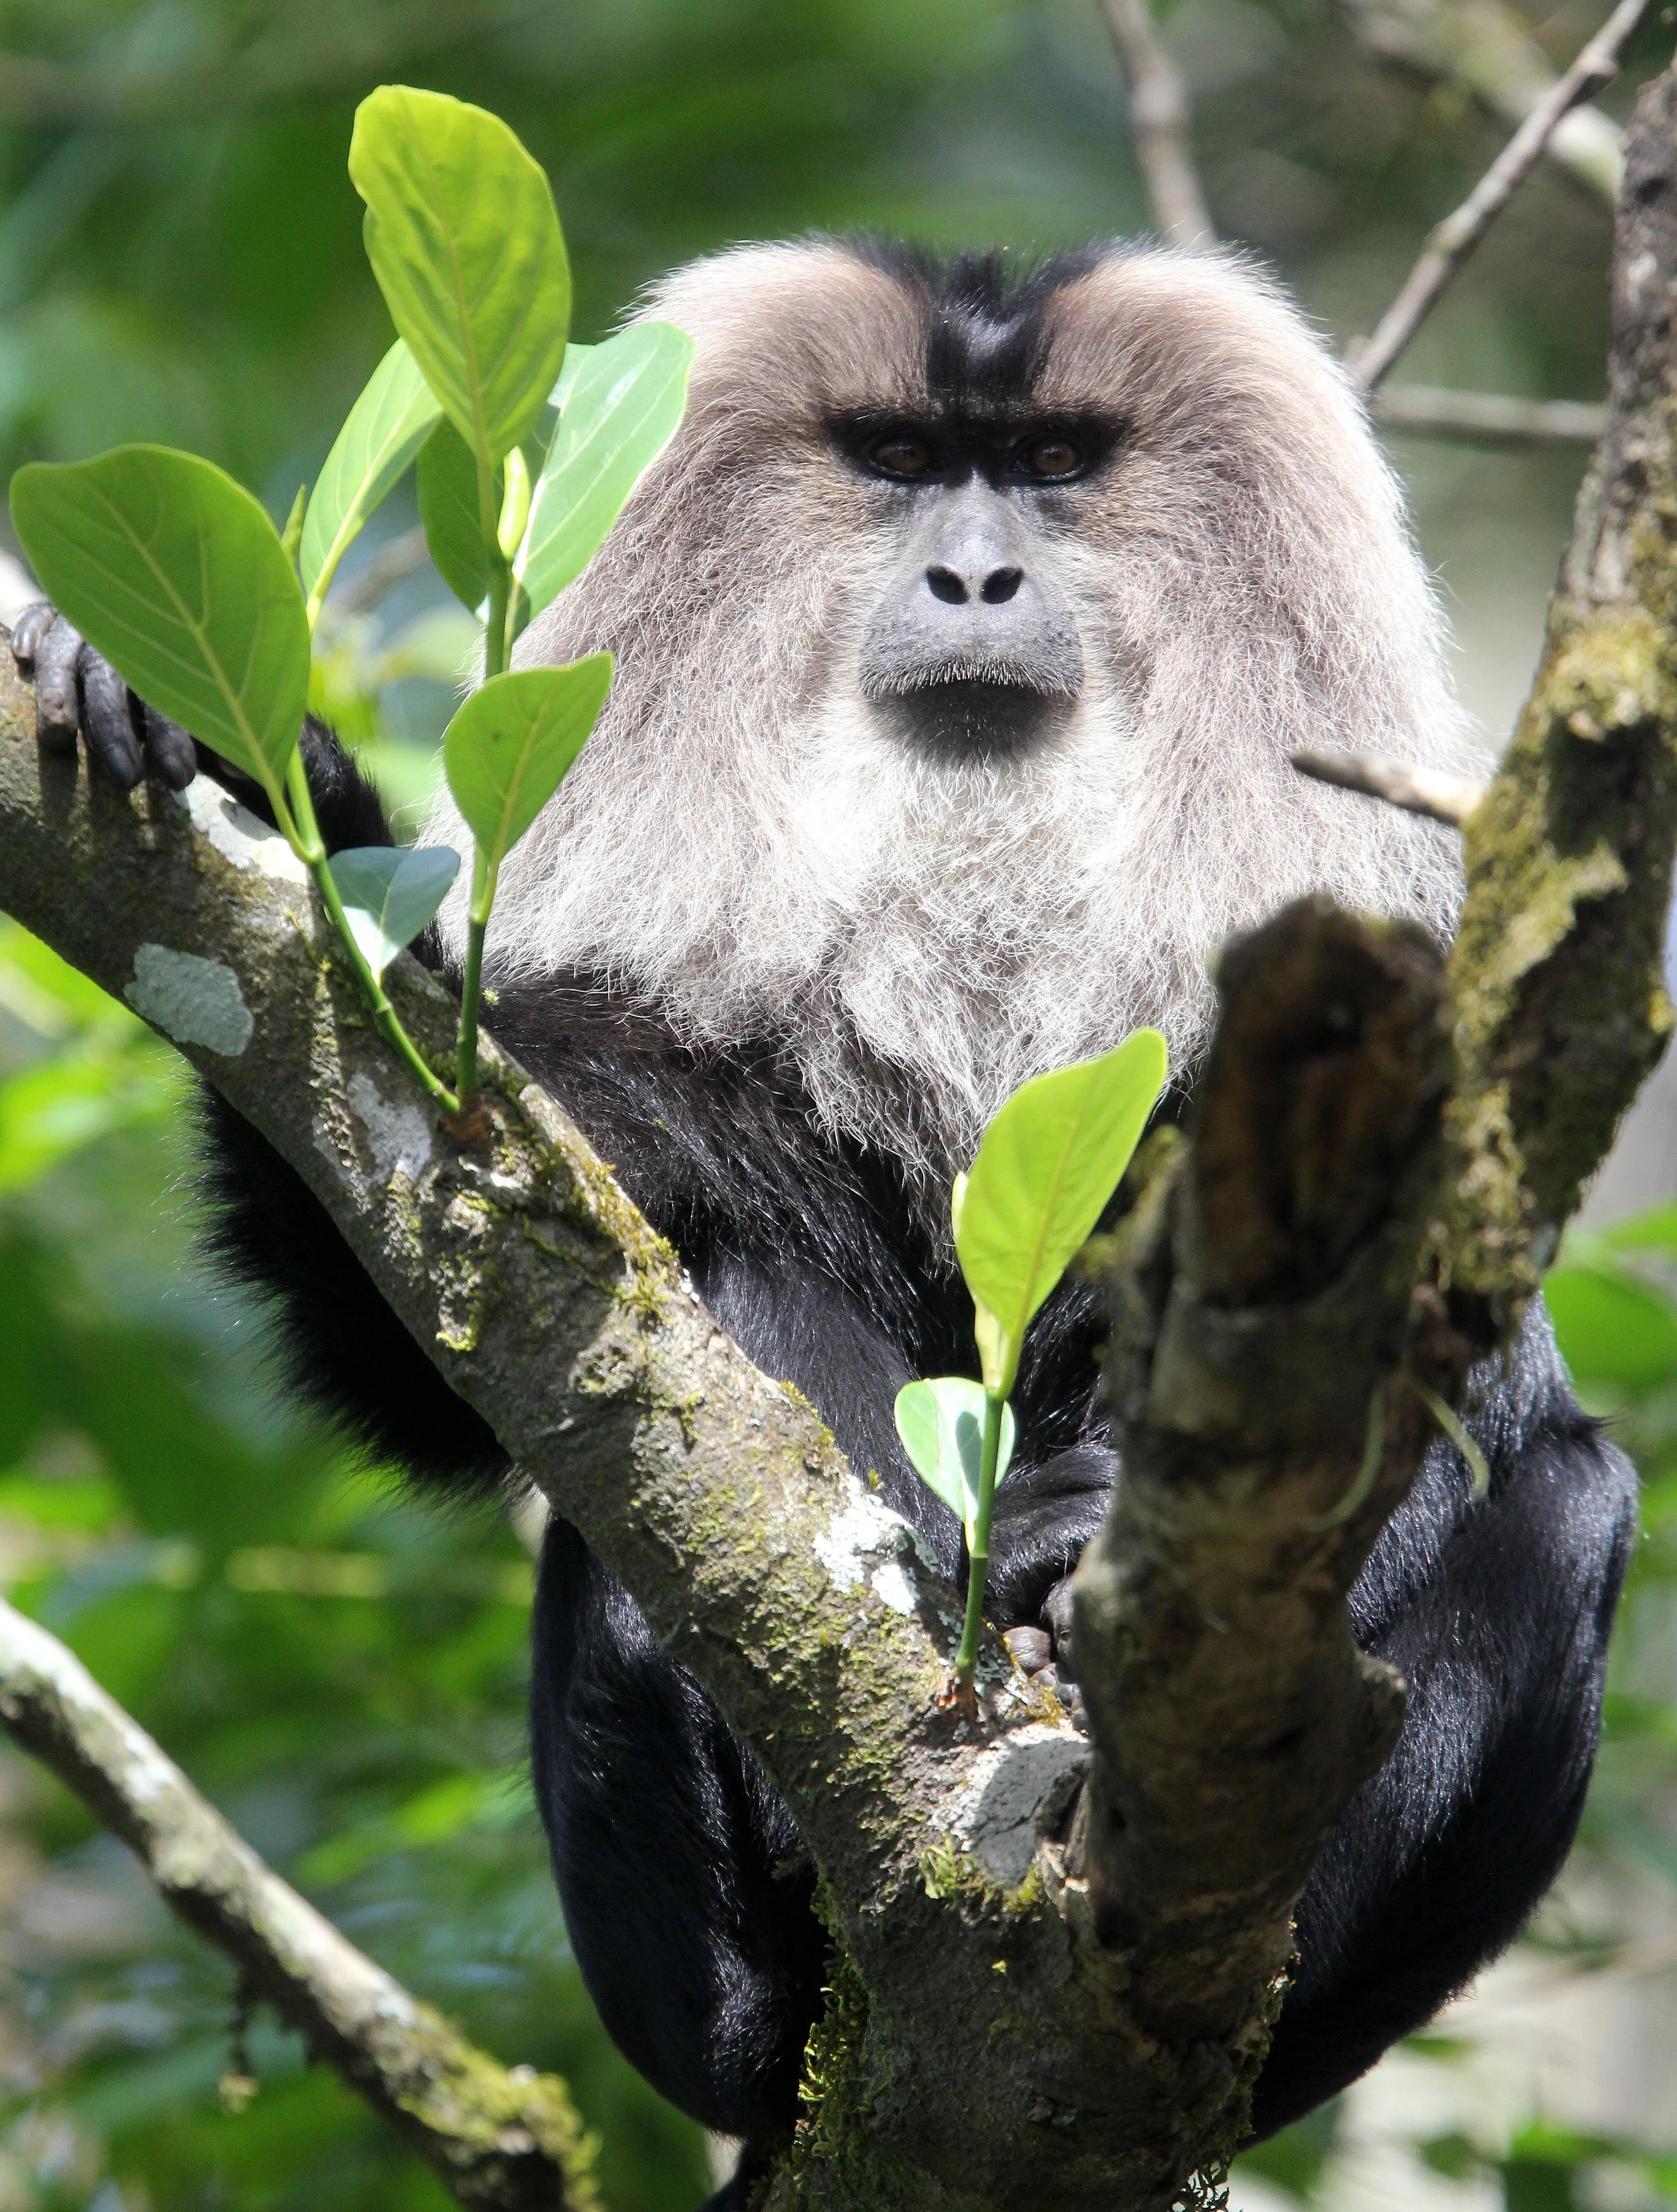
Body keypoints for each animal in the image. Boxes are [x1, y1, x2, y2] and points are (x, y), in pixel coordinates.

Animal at [11, 238, 1637, 2207]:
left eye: (1053, 462)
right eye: (894, 460)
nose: (974, 573)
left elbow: (1469, 1407)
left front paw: (1079, 1535)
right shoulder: (614, 1058)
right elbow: (430, 1324)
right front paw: (241, 764)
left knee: (1573, 1494)